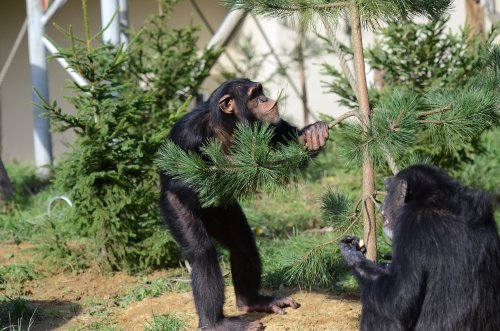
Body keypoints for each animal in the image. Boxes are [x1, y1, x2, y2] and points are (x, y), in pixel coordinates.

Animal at [160, 78, 330, 331]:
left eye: (260, 91)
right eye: (253, 95)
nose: (266, 98)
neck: (226, 126)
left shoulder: (263, 127)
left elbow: (281, 133)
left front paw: (312, 132)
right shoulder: (189, 135)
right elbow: (180, 178)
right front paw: (228, 163)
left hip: (222, 210)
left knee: (242, 243)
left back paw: (252, 302)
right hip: (172, 206)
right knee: (202, 254)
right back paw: (215, 323)